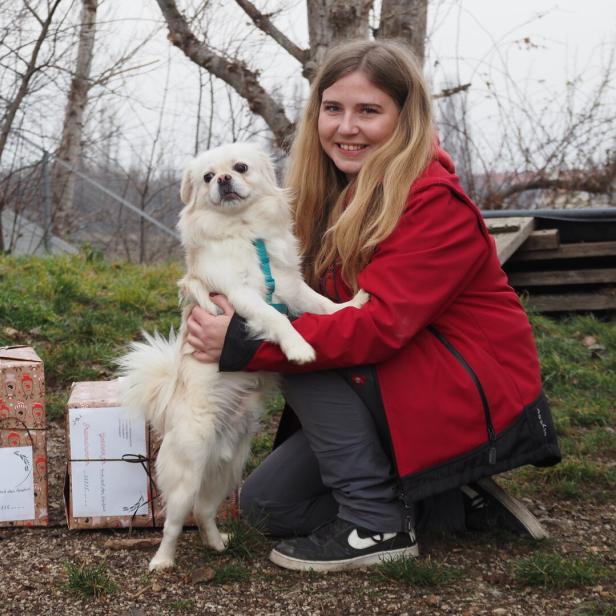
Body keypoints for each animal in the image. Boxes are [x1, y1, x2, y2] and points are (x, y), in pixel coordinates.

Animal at [118, 142, 366, 572]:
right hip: (188, 471)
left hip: (228, 470)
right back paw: (163, 561)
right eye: (206, 178)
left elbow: (321, 305)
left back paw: (218, 545)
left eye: (240, 168)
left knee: (204, 512)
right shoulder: (242, 296)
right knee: (175, 521)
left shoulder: (291, 287)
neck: (247, 233)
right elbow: (276, 319)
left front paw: (352, 305)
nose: (222, 179)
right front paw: (299, 348)